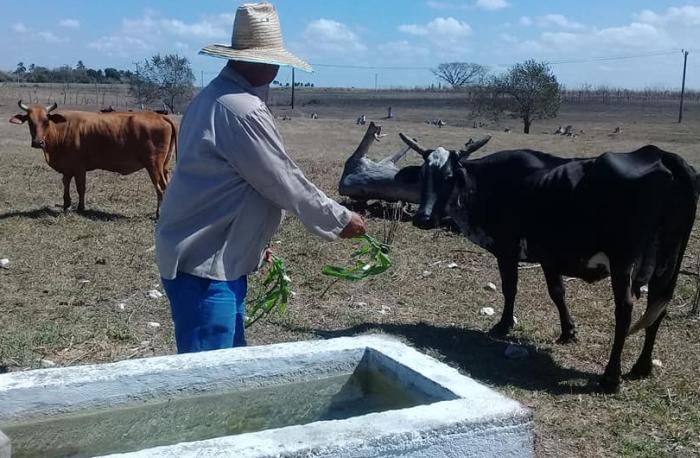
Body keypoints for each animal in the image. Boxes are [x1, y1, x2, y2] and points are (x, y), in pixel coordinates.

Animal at [9, 101, 178, 217]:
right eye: (30, 121)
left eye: (46, 121)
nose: (38, 142)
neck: (62, 129)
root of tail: (159, 116)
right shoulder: (67, 167)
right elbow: (66, 184)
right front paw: (66, 204)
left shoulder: (79, 167)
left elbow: (81, 187)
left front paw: (80, 207)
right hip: (164, 166)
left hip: (153, 165)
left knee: (161, 187)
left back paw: (159, 214)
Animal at [400, 133, 700, 394]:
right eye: (422, 177)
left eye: (448, 177)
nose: (422, 219)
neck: (488, 183)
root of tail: (660, 155)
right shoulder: (549, 258)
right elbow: (558, 293)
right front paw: (568, 332)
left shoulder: (507, 251)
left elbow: (510, 289)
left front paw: (503, 325)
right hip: (668, 264)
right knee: (658, 306)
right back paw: (641, 367)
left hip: (623, 262)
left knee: (625, 311)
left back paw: (611, 377)